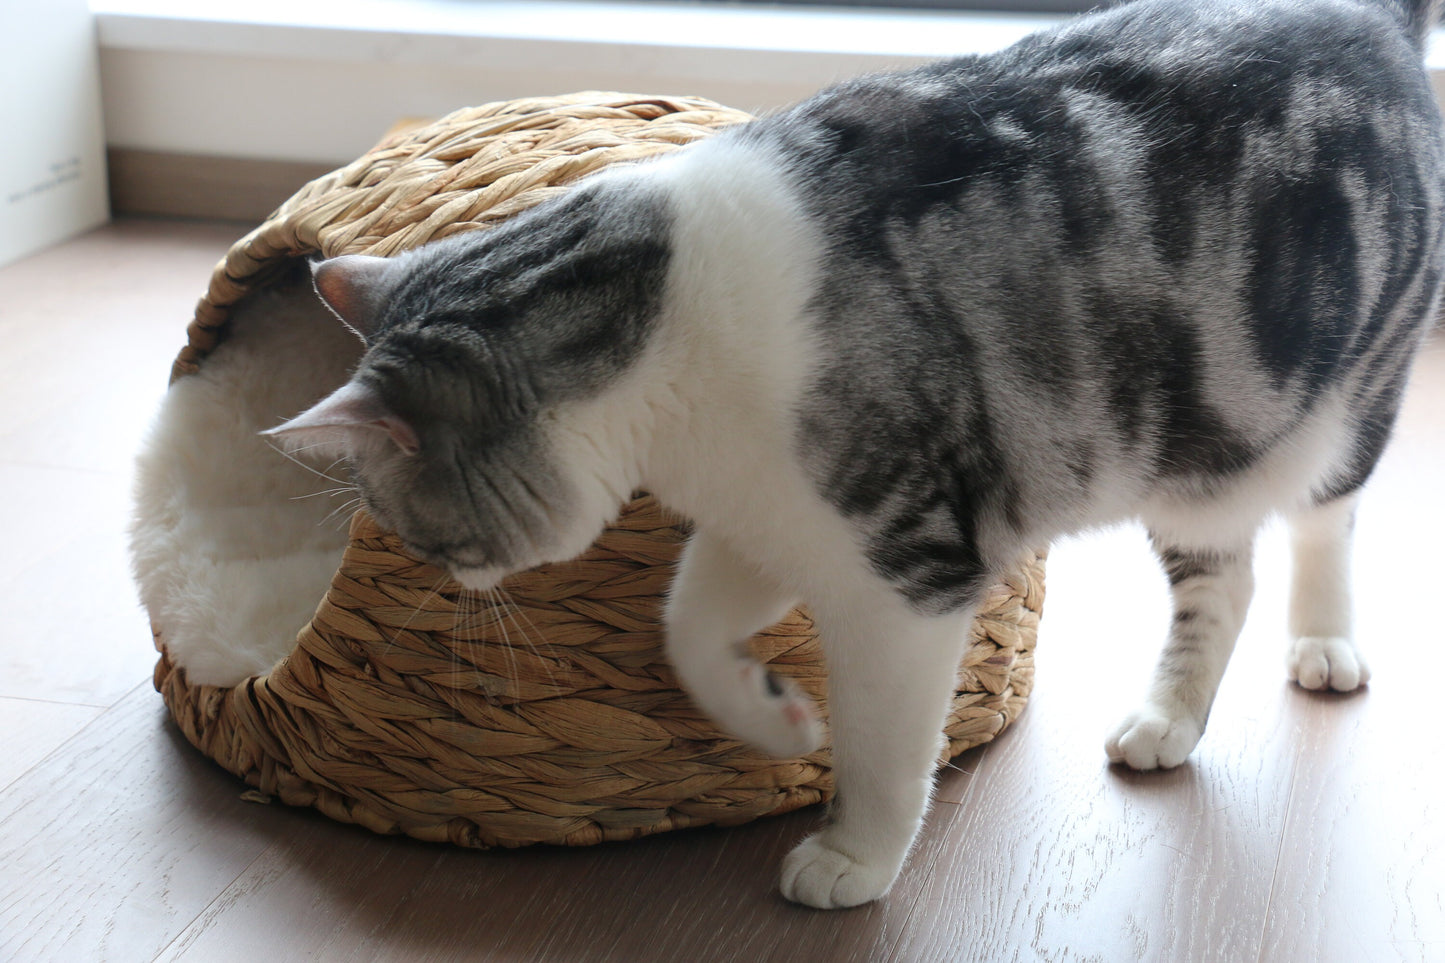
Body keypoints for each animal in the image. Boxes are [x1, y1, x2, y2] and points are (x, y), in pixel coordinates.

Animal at [265, 0, 1445, 908]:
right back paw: (1164, 718)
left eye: (427, 533)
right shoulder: (765, 515)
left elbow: (883, 745)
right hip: (1192, 454)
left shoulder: (904, 568)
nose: (451, 581)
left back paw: (1324, 644)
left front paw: (851, 858)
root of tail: (1371, 16)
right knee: (1223, 580)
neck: (668, 336)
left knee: (1321, 522)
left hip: (1324, 403)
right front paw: (775, 716)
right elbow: (685, 627)